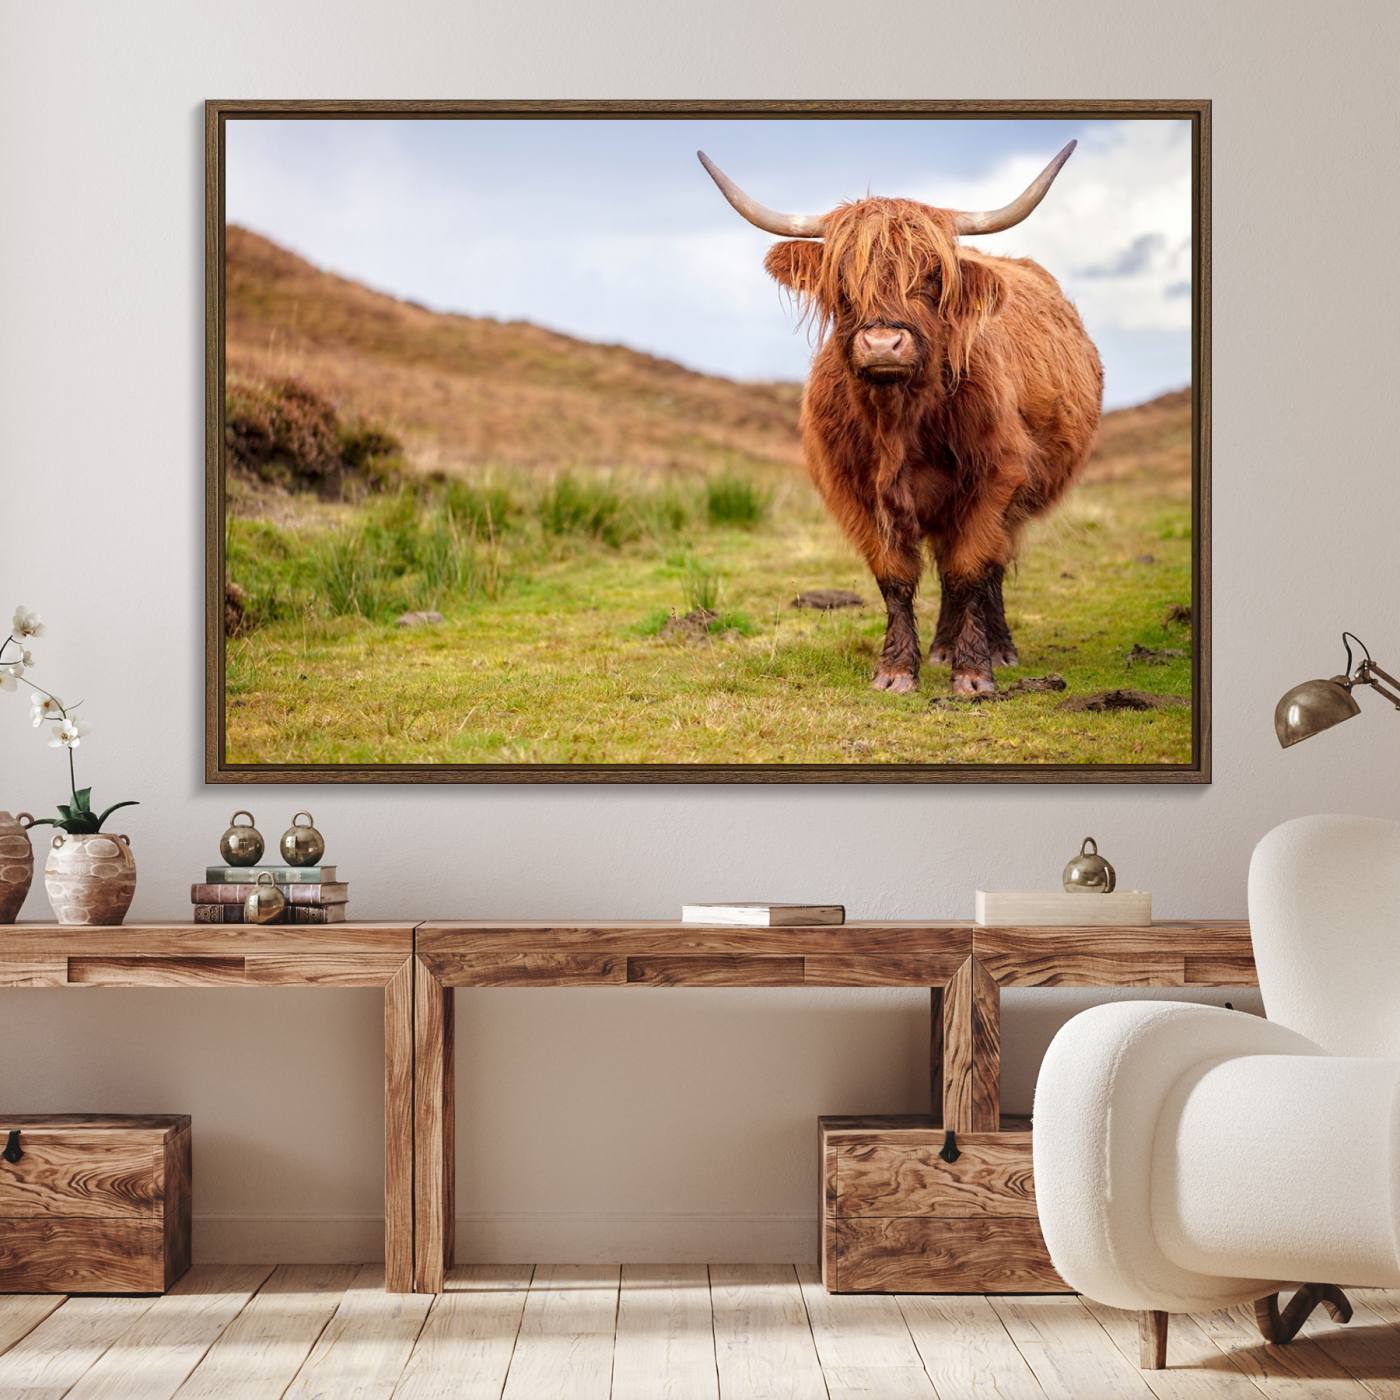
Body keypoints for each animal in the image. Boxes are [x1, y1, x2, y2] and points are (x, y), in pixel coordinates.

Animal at [699, 143, 1103, 696]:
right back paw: (940, 648)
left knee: (988, 569)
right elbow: (895, 576)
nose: (883, 343)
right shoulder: (856, 491)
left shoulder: (995, 479)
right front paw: (895, 671)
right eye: (842, 278)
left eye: (933, 275)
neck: (899, 421)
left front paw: (974, 674)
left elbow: (970, 569)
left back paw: (997, 649)